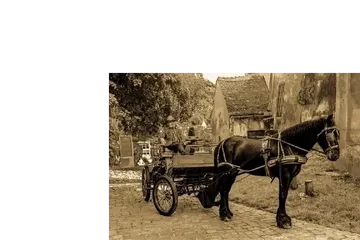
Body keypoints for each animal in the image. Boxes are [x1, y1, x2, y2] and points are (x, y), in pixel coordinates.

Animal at [197, 114, 340, 229]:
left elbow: (284, 195)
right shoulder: (285, 175)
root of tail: (222, 142)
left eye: (337, 133)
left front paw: (282, 218)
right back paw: (224, 214)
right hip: (227, 172)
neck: (288, 145)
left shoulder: (289, 176)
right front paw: (283, 220)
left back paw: (227, 213)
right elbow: (282, 195)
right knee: (223, 189)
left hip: (233, 172)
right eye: (330, 132)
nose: (335, 155)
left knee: (225, 190)